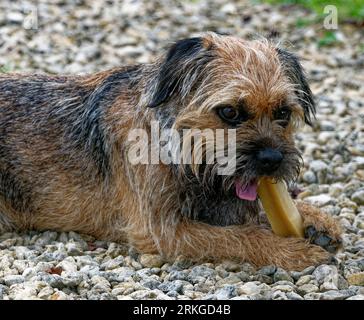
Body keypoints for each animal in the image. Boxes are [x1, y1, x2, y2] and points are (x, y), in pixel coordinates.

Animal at [0, 33, 342, 270]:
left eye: (283, 113)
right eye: (230, 112)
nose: (272, 160)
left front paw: (315, 217)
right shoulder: (163, 231)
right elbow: (239, 235)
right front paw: (291, 251)